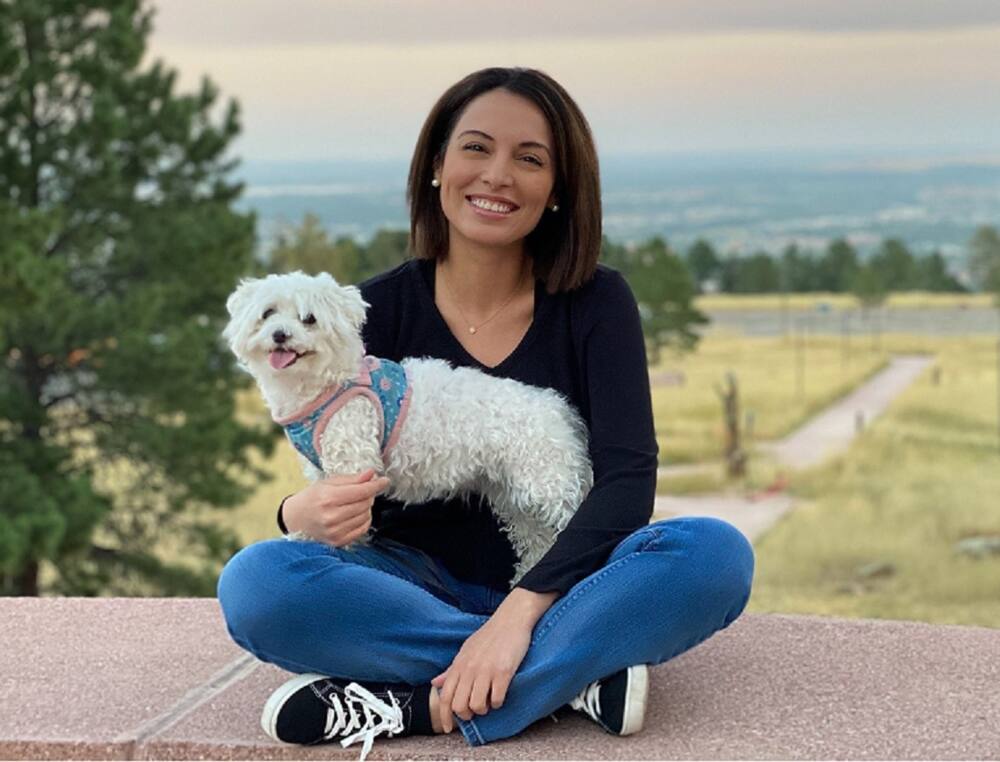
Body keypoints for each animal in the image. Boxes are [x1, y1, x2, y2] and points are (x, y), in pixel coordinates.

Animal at [223, 268, 588, 580]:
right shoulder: (325, 476)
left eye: (309, 319)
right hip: (513, 495)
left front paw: (342, 549)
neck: (327, 382)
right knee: (539, 540)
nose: (280, 335)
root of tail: (558, 409)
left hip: (549, 484)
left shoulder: (353, 461)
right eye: (268, 313)